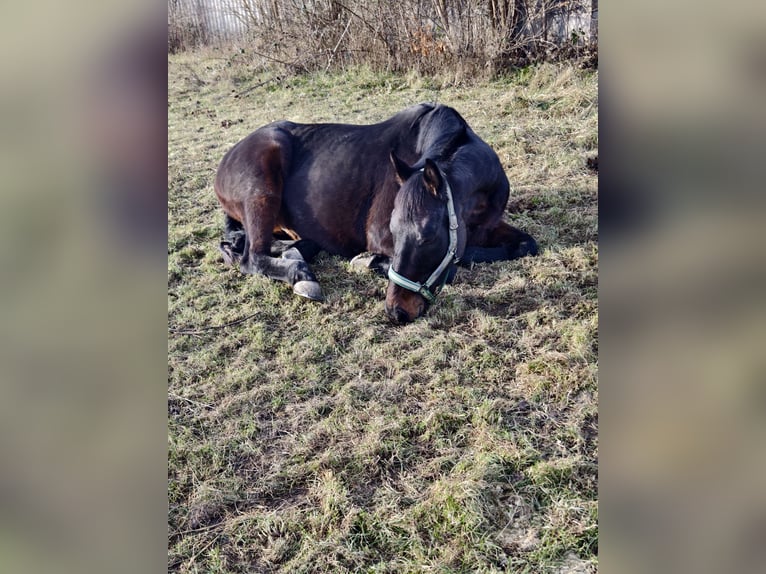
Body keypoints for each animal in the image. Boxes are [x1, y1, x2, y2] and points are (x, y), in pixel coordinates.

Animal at [214, 103, 537, 324]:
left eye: (428, 236)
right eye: (393, 230)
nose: (397, 312)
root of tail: (229, 155)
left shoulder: (490, 227)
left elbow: (527, 244)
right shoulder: (380, 235)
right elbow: (455, 265)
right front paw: (369, 261)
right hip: (261, 194)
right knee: (252, 258)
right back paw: (302, 276)